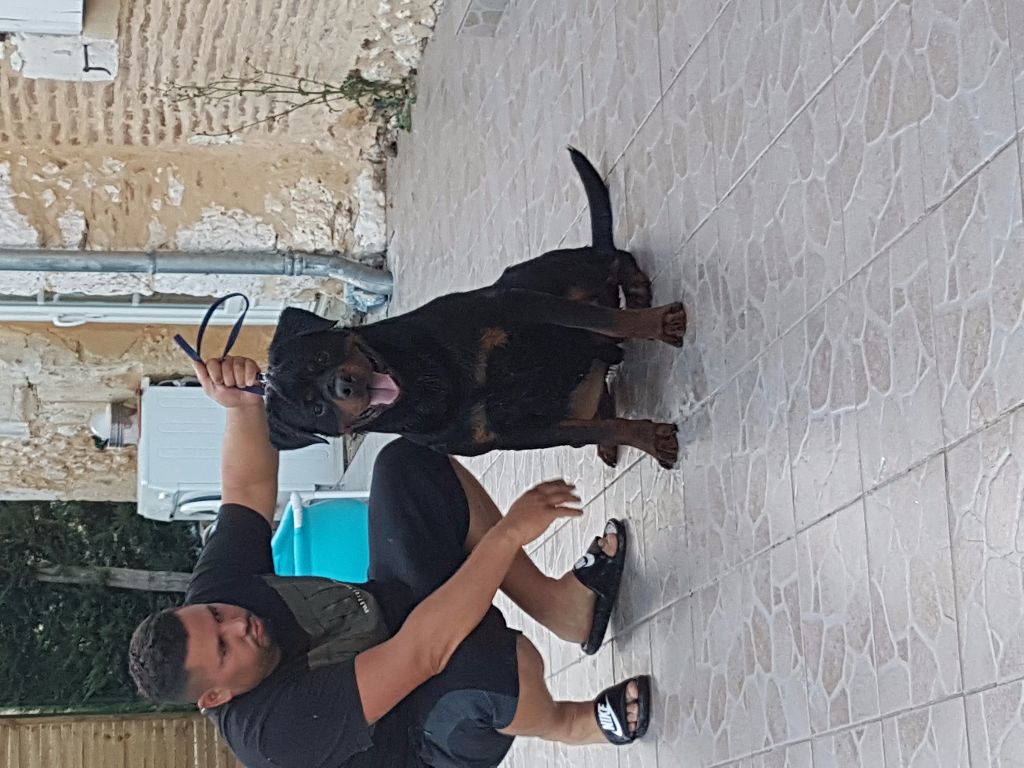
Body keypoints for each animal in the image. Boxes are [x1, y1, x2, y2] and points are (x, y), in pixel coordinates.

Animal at [264, 149, 685, 468]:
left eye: (321, 357)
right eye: (316, 409)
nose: (343, 385)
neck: (425, 382)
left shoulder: (519, 305)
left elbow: (608, 319)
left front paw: (656, 324)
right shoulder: (519, 432)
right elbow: (599, 427)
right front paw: (646, 439)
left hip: (539, 275)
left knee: (610, 261)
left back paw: (636, 292)